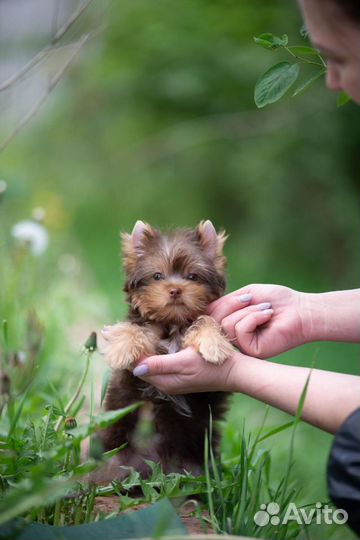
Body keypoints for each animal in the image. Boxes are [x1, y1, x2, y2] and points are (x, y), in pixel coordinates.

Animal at [99, 217, 233, 478]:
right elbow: (136, 327)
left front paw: (213, 344)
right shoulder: (148, 327)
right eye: (157, 276)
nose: (175, 290)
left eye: (193, 277)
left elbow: (205, 320)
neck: (173, 323)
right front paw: (121, 348)